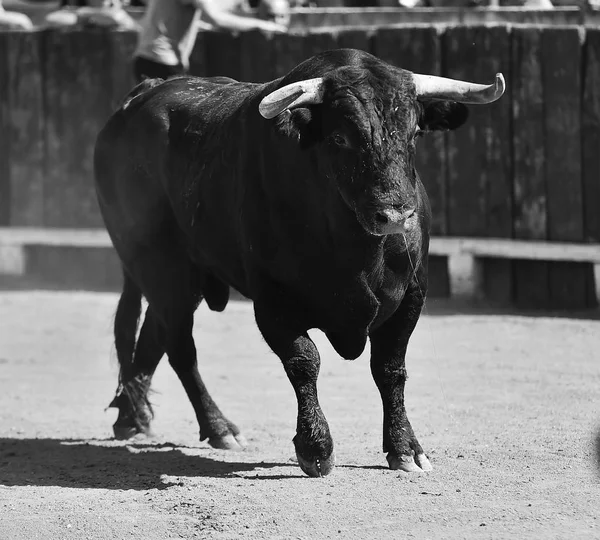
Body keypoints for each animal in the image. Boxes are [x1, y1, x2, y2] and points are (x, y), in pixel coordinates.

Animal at [95, 47, 506, 476]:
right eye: (340, 137)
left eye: (414, 133)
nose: (395, 214)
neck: (355, 246)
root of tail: (142, 95)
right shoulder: (273, 300)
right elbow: (304, 361)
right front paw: (316, 447)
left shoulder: (412, 293)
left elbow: (390, 368)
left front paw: (405, 447)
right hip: (160, 268)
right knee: (180, 348)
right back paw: (217, 426)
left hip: (180, 277)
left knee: (154, 335)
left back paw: (133, 417)